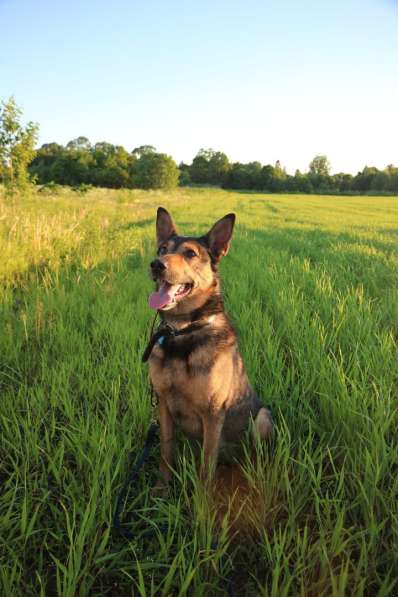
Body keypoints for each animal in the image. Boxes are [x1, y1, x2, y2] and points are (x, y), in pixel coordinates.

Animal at [146, 207, 274, 486]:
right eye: (162, 249)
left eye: (190, 254)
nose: (156, 264)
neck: (183, 330)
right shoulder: (163, 404)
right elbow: (165, 453)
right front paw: (160, 490)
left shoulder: (213, 413)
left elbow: (206, 469)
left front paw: (202, 499)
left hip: (262, 418)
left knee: (256, 454)